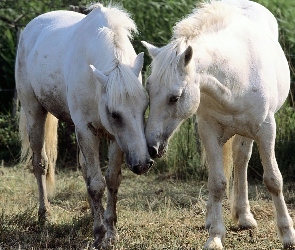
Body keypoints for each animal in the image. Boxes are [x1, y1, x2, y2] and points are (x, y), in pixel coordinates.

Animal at [15, 2, 154, 249]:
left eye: (145, 106)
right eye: (114, 114)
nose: (142, 164)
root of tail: (31, 27)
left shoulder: (116, 138)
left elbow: (111, 179)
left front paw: (111, 231)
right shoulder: (87, 131)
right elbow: (96, 183)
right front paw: (99, 235)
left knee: (84, 171)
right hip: (34, 112)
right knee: (40, 163)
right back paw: (45, 215)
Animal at [142, 0, 294, 249]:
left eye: (175, 97)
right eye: (148, 92)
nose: (151, 148)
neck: (234, 78)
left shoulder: (266, 130)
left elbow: (273, 179)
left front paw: (288, 233)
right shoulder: (209, 132)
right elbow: (216, 183)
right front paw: (214, 235)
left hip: (248, 132)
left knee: (241, 162)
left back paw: (245, 217)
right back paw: (219, 217)